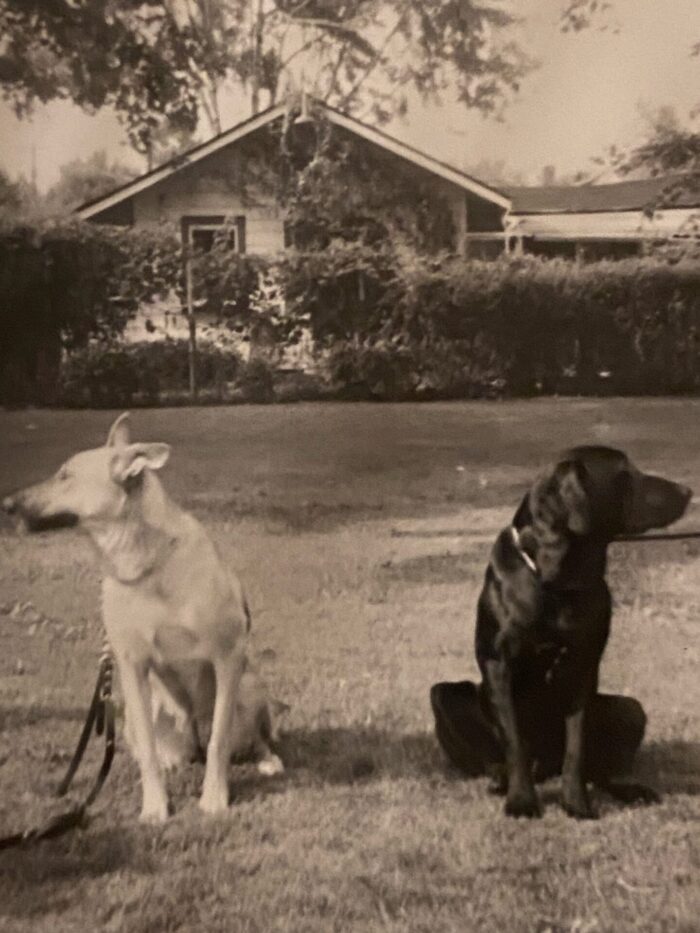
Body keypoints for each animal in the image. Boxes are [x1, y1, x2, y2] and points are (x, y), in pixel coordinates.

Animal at [3, 412, 282, 820]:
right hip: (141, 710)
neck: (147, 564)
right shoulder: (131, 666)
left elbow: (220, 739)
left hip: (250, 687)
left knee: (242, 737)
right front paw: (155, 806)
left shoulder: (227, 657)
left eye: (65, 475)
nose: (6, 503)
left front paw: (214, 798)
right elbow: (149, 752)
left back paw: (266, 759)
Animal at [430, 448, 692, 820]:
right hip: (444, 696)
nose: (687, 491)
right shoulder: (499, 666)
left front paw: (576, 803)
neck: (558, 577)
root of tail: (546, 769)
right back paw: (500, 779)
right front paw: (522, 801)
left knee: (605, 765)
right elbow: (515, 741)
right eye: (625, 474)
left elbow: (576, 745)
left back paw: (630, 788)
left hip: (630, 710)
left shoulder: (583, 667)